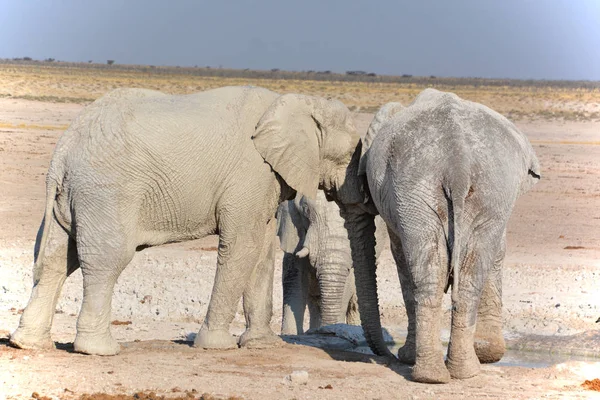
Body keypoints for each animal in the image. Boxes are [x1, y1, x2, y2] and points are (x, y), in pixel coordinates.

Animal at [10, 85, 360, 356]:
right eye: (351, 154)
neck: (298, 101)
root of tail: (63, 150)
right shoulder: (250, 174)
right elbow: (241, 246)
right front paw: (217, 346)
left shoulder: (266, 180)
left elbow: (261, 251)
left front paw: (263, 345)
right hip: (105, 191)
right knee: (107, 260)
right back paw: (99, 350)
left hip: (74, 195)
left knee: (56, 259)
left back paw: (29, 344)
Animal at [346, 89, 540, 382]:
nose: (386, 355)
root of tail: (458, 163)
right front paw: (486, 352)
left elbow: (400, 255)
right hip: (454, 188)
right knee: (457, 274)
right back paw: (452, 373)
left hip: (441, 187)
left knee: (432, 270)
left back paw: (436, 371)